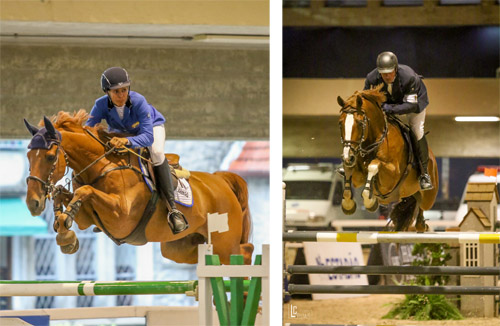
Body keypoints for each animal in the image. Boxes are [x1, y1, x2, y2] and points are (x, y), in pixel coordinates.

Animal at [23, 110, 254, 264]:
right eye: (28, 156)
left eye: (50, 157)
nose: (33, 203)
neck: (101, 166)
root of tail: (221, 181)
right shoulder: (87, 218)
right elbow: (66, 196)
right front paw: (64, 232)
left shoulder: (121, 217)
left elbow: (84, 191)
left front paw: (64, 228)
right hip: (180, 248)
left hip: (225, 243)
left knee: (243, 252)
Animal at [336, 85, 438, 230]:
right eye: (340, 124)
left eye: (360, 123)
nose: (348, 157)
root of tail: (432, 158)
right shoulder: (358, 177)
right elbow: (349, 173)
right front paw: (348, 205)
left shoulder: (391, 175)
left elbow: (373, 165)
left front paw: (370, 201)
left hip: (428, 197)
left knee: (423, 205)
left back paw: (421, 223)